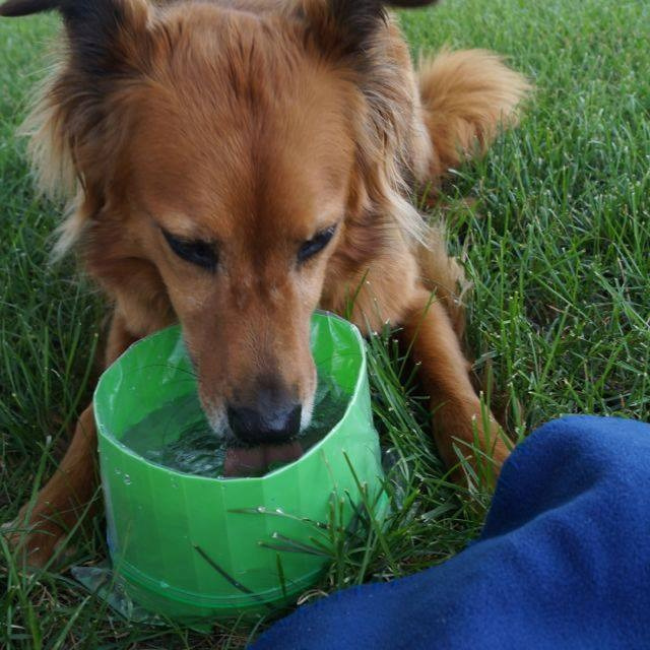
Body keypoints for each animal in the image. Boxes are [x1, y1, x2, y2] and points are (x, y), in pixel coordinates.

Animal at [1, 0, 528, 564]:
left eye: (319, 239)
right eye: (187, 247)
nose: (267, 428)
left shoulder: (406, 297)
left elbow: (453, 389)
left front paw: (496, 471)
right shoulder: (133, 314)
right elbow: (87, 422)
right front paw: (41, 524)